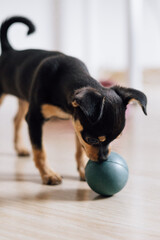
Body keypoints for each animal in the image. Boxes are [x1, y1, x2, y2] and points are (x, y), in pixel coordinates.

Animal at [0, 16, 148, 185]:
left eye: (115, 139)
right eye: (92, 139)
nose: (103, 159)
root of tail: (9, 51)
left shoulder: (76, 121)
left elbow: (79, 150)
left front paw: (83, 170)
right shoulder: (35, 119)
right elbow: (40, 151)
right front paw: (48, 175)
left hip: (24, 99)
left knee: (16, 119)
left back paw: (19, 148)